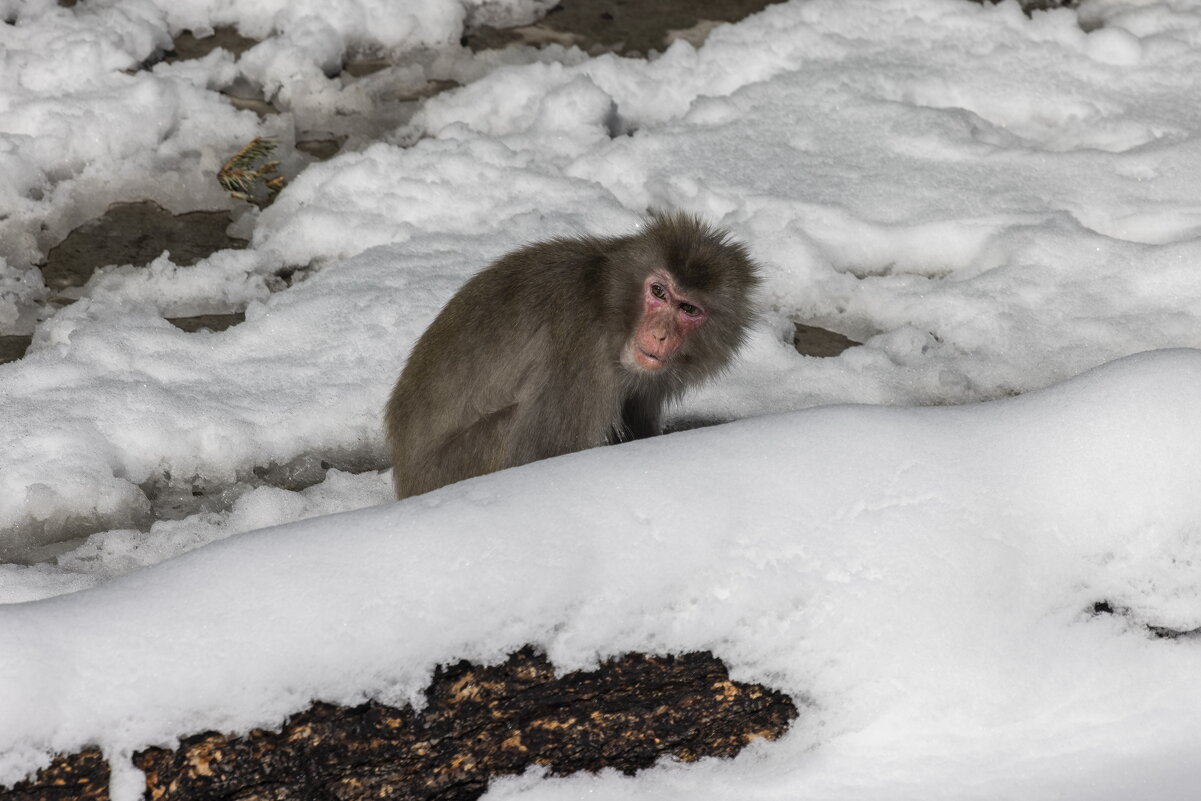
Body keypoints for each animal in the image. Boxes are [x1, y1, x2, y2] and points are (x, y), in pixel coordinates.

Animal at [384, 212, 759, 501]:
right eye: (658, 292)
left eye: (689, 309)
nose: (659, 334)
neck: (607, 303)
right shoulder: (580, 353)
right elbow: (544, 456)